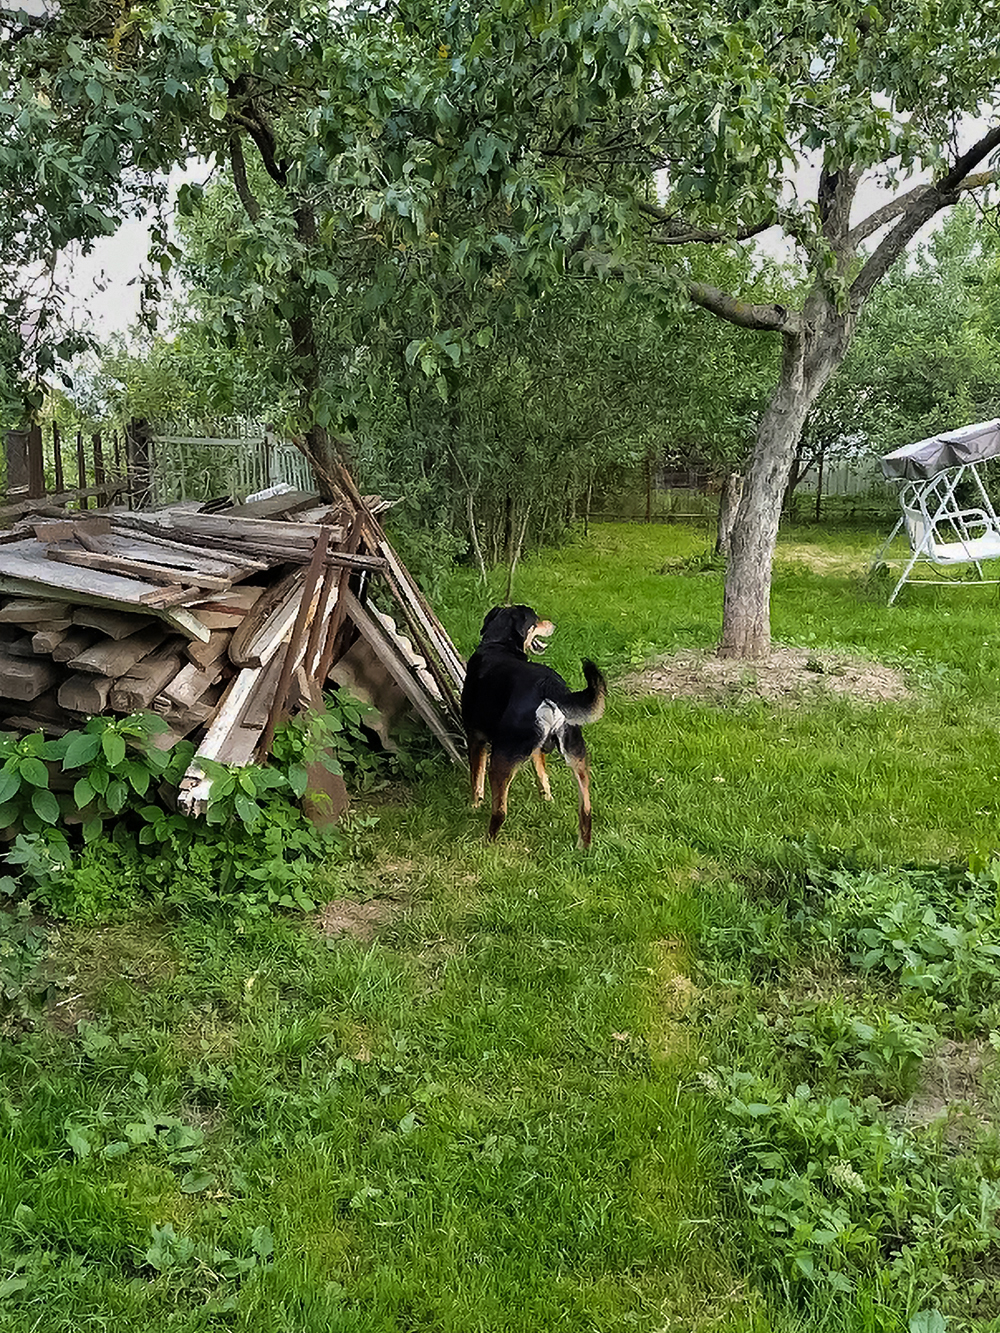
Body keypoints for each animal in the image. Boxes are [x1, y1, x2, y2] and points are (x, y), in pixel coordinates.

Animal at [461, 610, 608, 847]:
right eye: (536, 619)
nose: (552, 624)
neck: (498, 644)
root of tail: (549, 685)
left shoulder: (476, 738)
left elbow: (476, 779)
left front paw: (474, 806)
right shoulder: (538, 749)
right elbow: (543, 776)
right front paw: (547, 799)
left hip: (501, 758)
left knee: (500, 811)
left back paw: (488, 842)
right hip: (577, 756)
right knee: (586, 809)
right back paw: (583, 847)